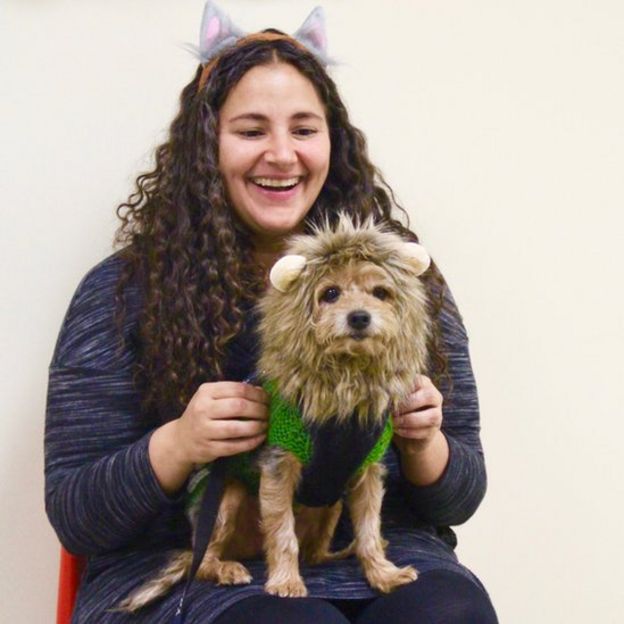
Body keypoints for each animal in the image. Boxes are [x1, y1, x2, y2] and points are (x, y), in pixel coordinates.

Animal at [122, 214, 434, 608]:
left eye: (381, 293)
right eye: (330, 293)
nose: (360, 317)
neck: (346, 377)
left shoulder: (366, 475)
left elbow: (368, 530)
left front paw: (383, 573)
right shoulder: (278, 469)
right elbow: (283, 534)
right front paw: (285, 581)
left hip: (331, 506)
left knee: (315, 552)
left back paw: (340, 553)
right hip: (226, 498)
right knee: (205, 559)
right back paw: (227, 568)